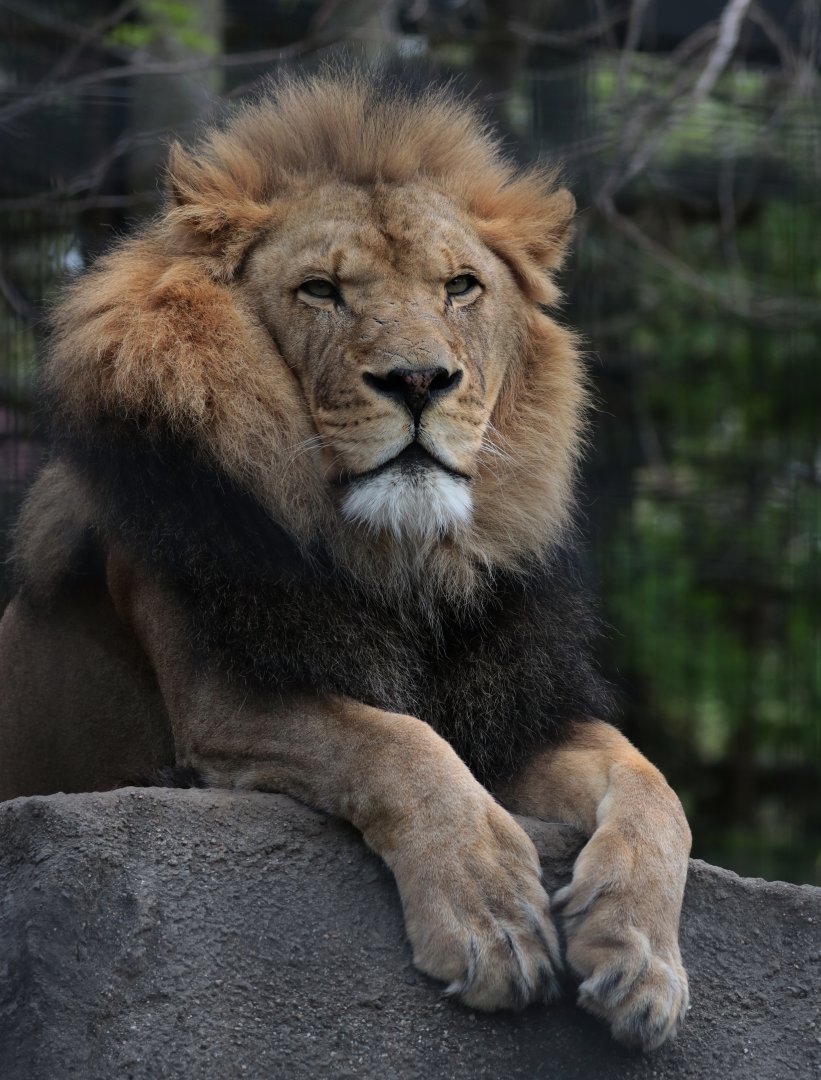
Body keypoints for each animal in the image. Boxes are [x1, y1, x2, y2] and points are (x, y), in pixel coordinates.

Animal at [0, 68, 691, 1050]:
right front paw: (490, 918)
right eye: (321, 290)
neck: (400, 564)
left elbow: (651, 784)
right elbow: (397, 744)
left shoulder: (515, 713)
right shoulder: (225, 700)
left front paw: (640, 957)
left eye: (460, 287)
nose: (419, 382)